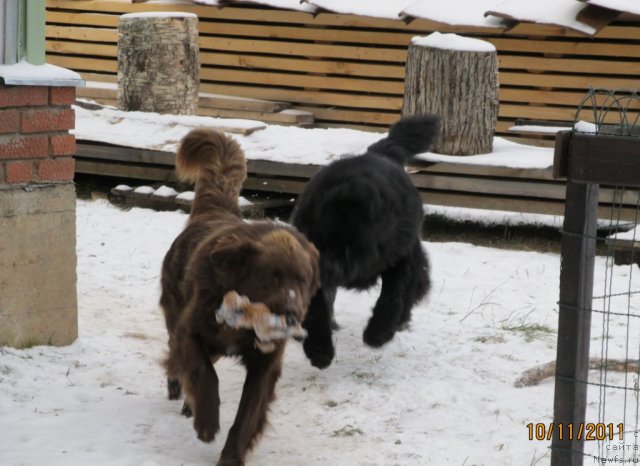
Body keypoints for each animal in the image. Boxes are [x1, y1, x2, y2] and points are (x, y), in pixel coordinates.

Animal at [160, 128, 320, 466]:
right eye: (271, 276)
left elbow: (247, 414)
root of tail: (215, 210)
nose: (291, 315)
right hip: (175, 313)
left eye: (301, 281)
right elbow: (205, 375)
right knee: (175, 354)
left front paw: (231, 456)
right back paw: (177, 388)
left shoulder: (265, 364)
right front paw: (206, 423)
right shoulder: (190, 331)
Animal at [292, 114, 442, 370]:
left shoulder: (398, 257)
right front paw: (320, 351)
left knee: (415, 286)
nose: (326, 271)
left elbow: (392, 297)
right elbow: (317, 309)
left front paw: (378, 334)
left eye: (348, 249)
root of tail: (383, 151)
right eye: (318, 244)